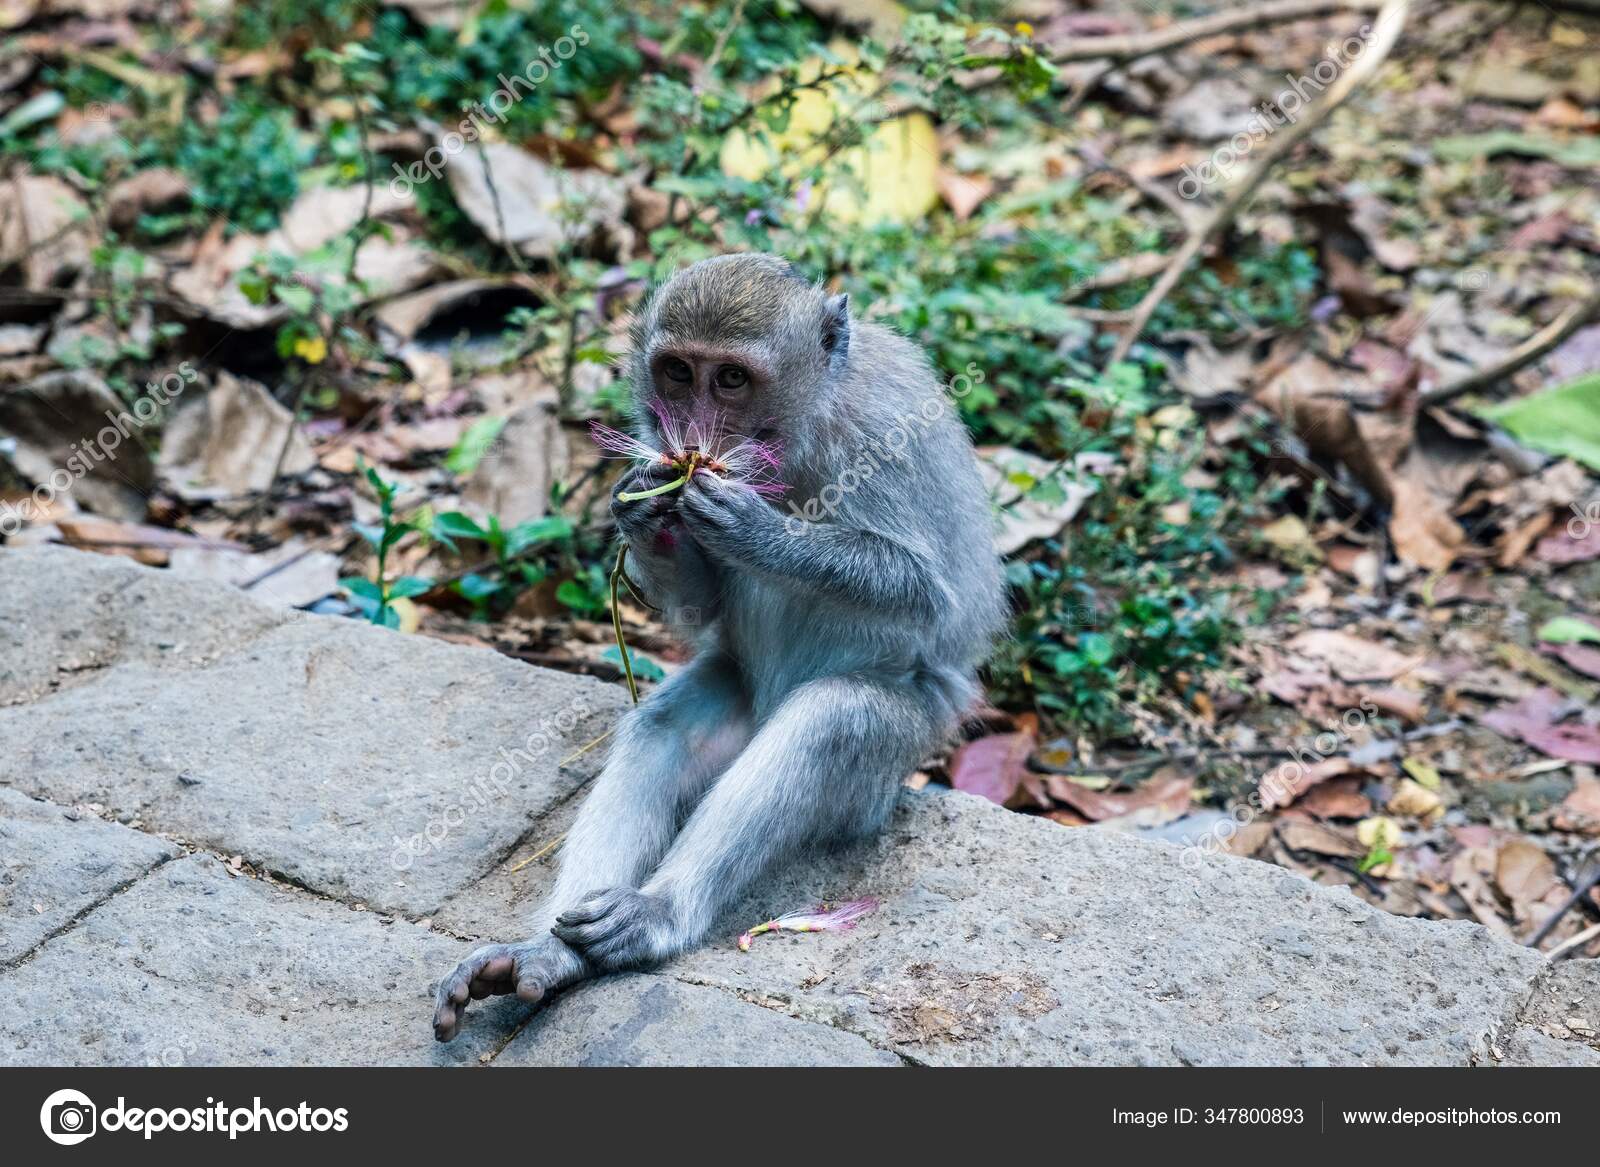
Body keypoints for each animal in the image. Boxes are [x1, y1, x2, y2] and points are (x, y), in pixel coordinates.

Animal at [428, 254, 998, 1037]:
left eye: (730, 379)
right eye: (677, 373)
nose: (696, 434)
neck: (802, 426)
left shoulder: (889, 426)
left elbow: (924, 593)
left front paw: (753, 528)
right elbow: (706, 605)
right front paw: (644, 506)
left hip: (893, 763)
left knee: (831, 721)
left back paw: (658, 914)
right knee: (665, 728)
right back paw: (552, 953)